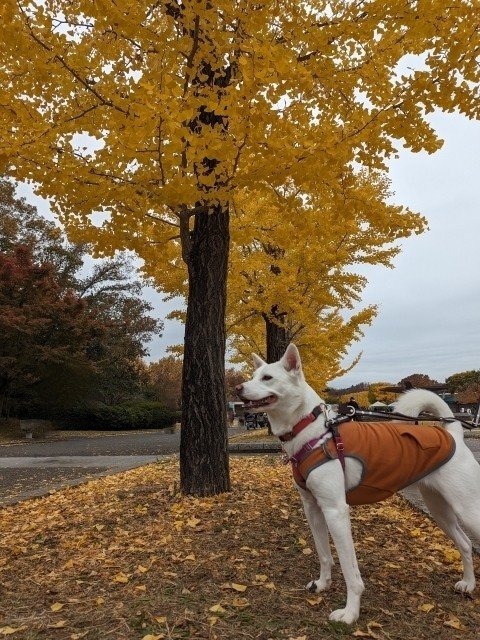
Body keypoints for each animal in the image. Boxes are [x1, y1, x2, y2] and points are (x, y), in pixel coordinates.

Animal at [237, 342, 480, 624]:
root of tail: (454, 435)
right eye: (253, 375)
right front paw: (322, 584)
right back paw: (468, 584)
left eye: (267, 378)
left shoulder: (336, 512)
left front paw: (350, 613)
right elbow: (324, 555)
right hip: (439, 509)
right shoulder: (313, 509)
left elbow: (349, 571)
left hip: (468, 510)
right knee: (465, 544)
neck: (314, 432)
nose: (237, 388)